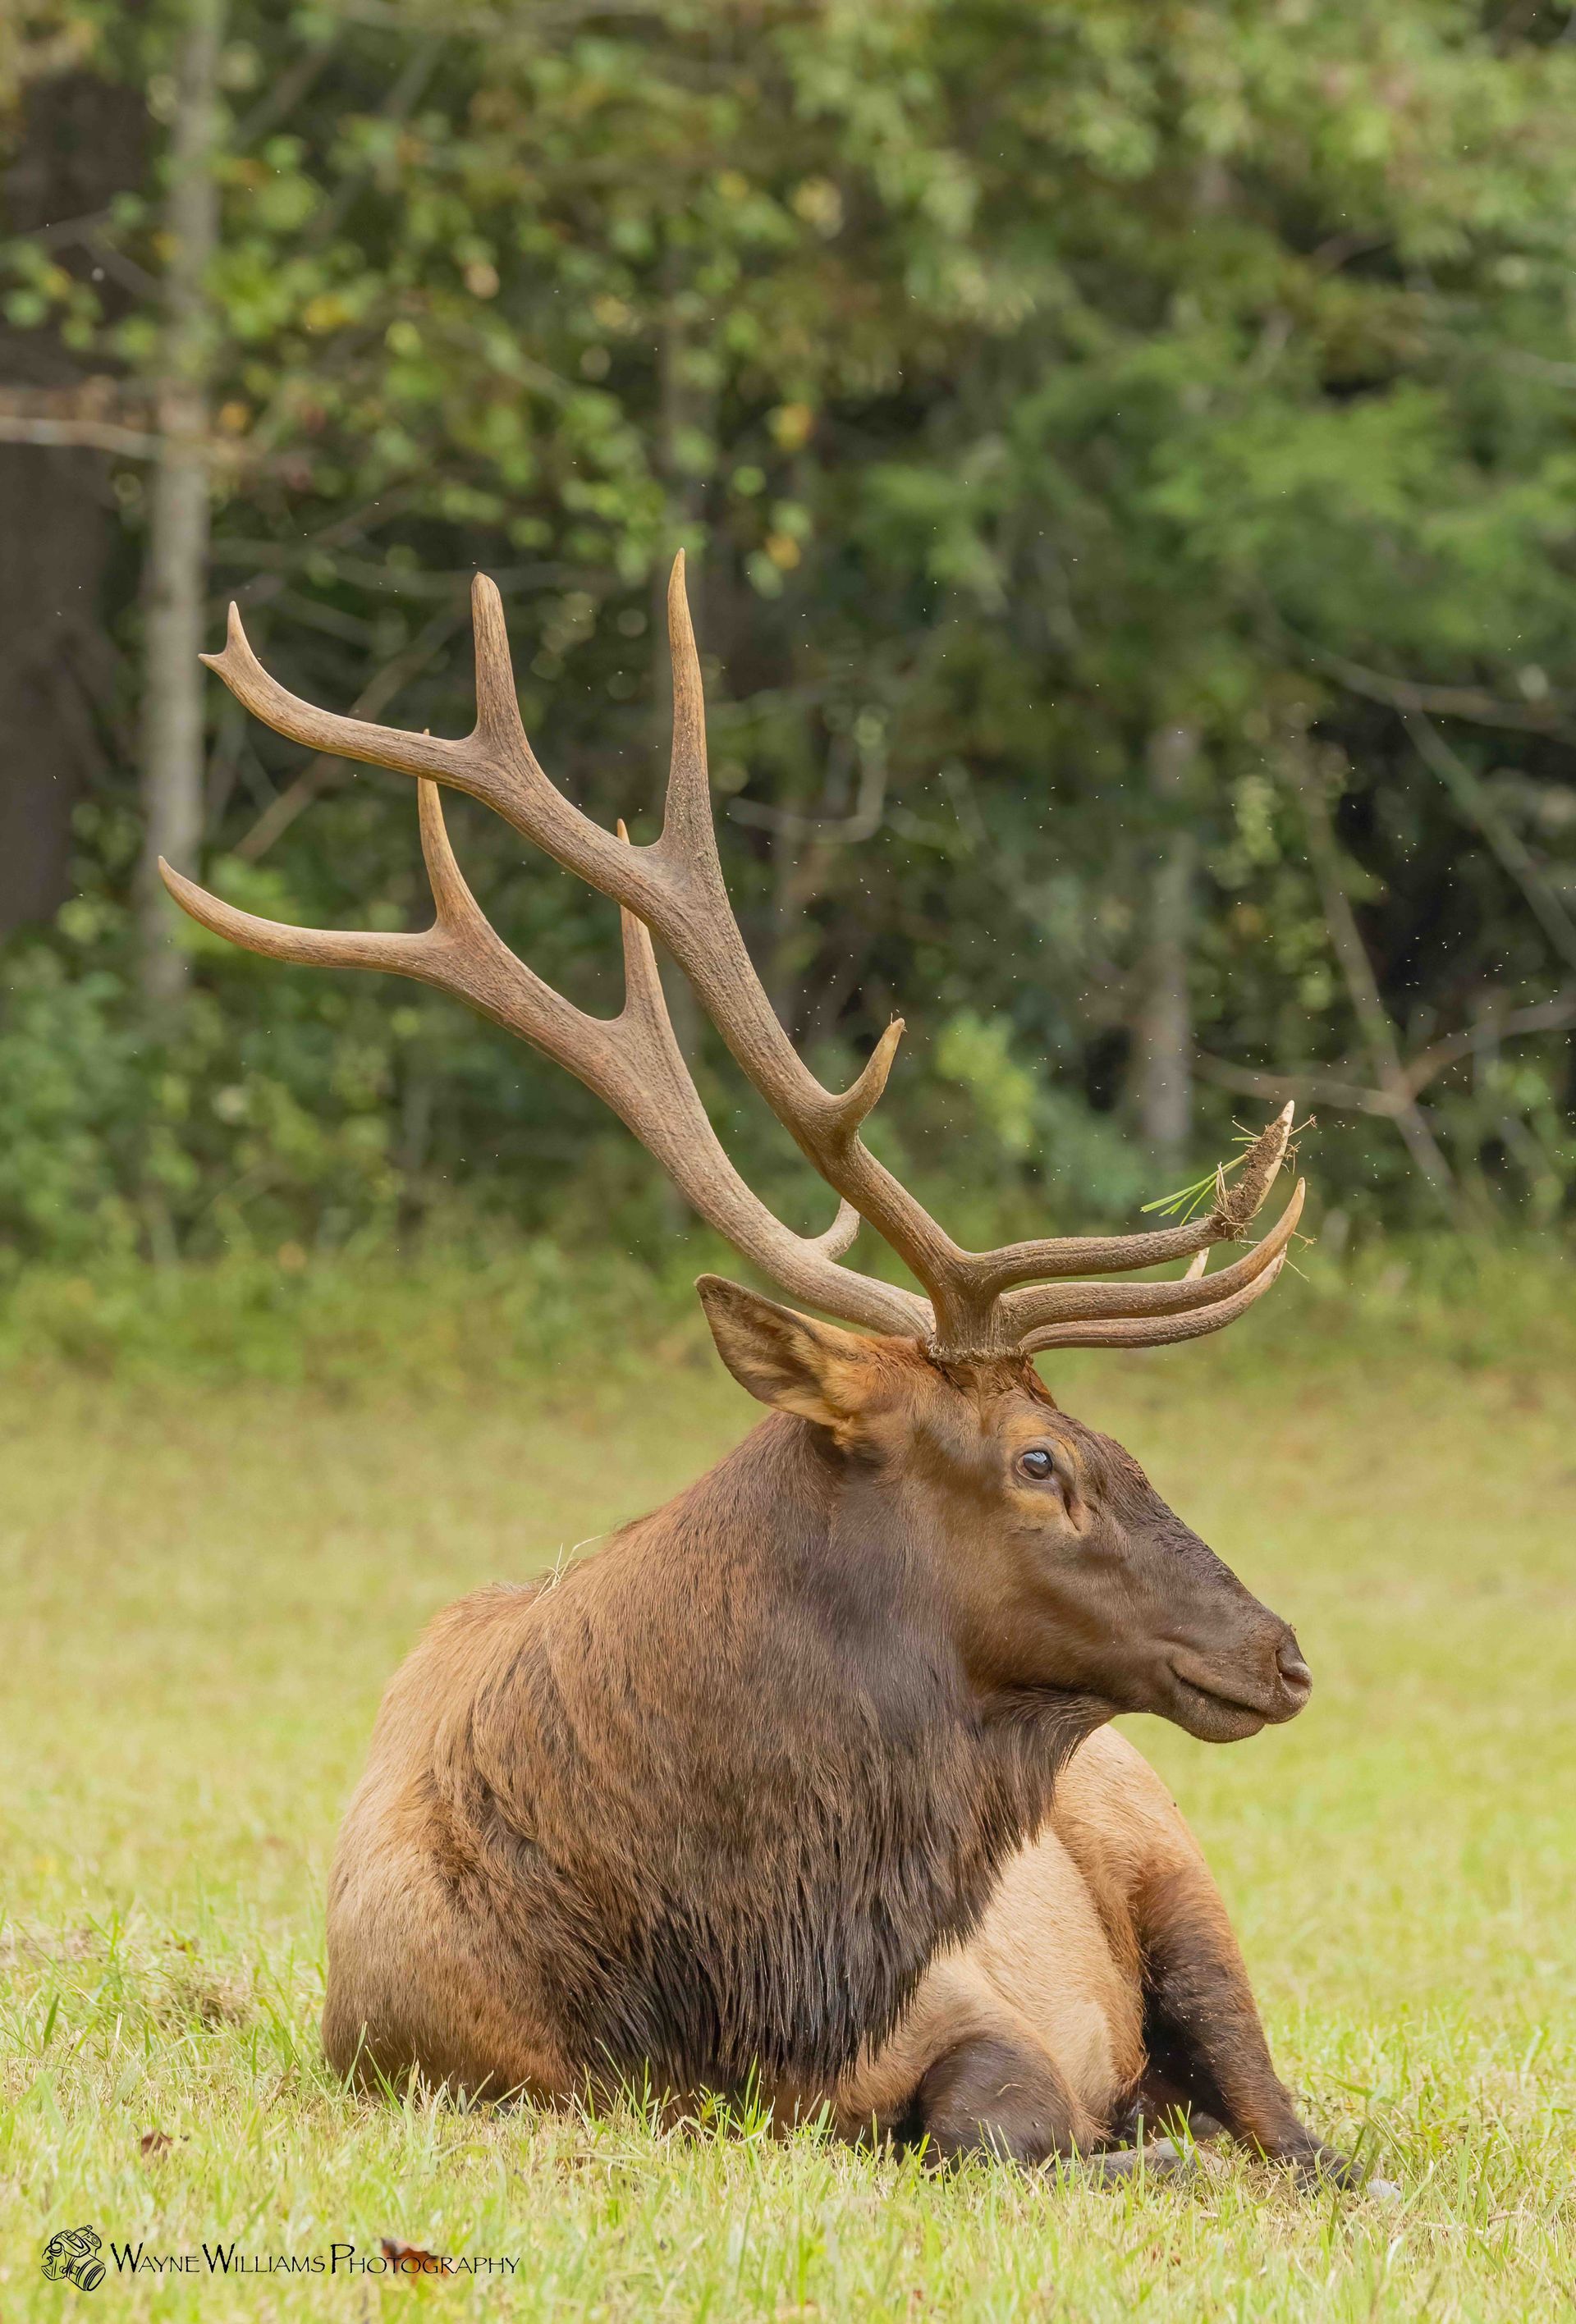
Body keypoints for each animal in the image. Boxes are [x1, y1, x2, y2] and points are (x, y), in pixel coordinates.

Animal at [160, 556, 1349, 2183]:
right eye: (1043, 1459)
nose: (1280, 1651)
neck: (717, 1979)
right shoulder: (426, 2057)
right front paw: (1136, 2152)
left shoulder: (975, 2002)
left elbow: (989, 2114)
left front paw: (1132, 2149)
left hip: (1179, 1871)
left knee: (1295, 2125)